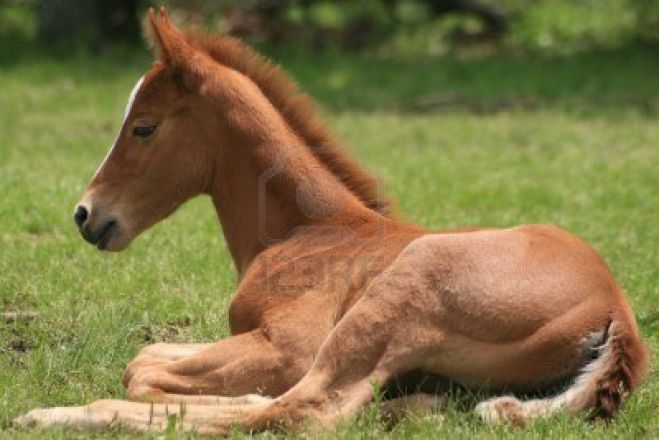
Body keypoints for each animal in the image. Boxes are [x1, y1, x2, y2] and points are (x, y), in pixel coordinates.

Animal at [12, 7, 648, 436]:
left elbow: (140, 372)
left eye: (143, 126)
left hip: (401, 291)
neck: (306, 230)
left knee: (304, 409)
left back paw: (51, 415)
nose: (86, 214)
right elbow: (147, 357)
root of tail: (617, 314)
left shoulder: (290, 346)